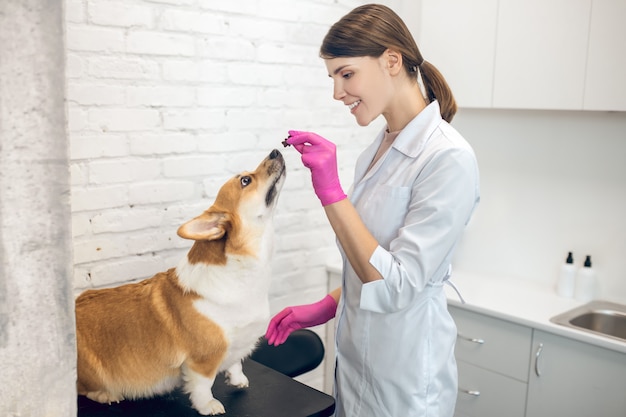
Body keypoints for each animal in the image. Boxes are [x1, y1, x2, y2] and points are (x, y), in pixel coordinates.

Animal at [75, 149, 286, 412]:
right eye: (245, 180)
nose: (276, 151)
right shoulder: (202, 360)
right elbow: (203, 385)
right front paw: (208, 406)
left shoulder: (237, 344)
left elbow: (236, 362)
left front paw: (237, 379)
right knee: (82, 388)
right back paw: (105, 394)